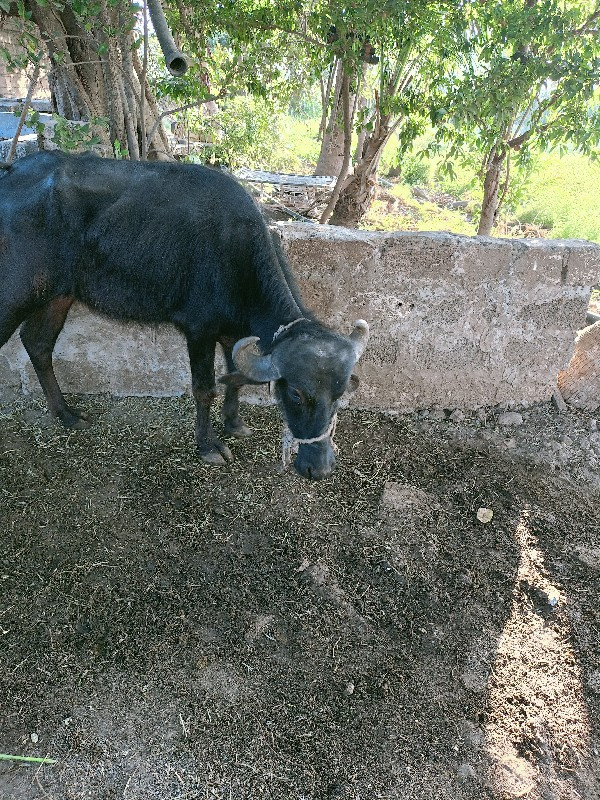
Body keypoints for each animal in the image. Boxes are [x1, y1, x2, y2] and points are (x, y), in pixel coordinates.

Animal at [0, 152, 368, 476]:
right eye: (296, 393)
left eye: (339, 395)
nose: (319, 468)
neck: (236, 254)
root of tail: (12, 170)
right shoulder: (199, 329)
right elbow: (205, 388)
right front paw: (208, 446)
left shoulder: (233, 333)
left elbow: (236, 376)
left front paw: (234, 423)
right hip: (16, 294)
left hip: (58, 294)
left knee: (38, 343)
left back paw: (66, 414)